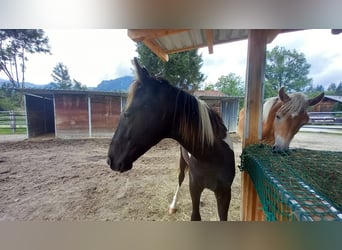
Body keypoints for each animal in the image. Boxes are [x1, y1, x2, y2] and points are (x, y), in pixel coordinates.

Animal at [107, 58, 235, 221]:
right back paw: (173, 206)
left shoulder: (224, 193)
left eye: (127, 112)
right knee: (180, 178)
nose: (110, 160)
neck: (212, 155)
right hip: (182, 162)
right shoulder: (194, 187)